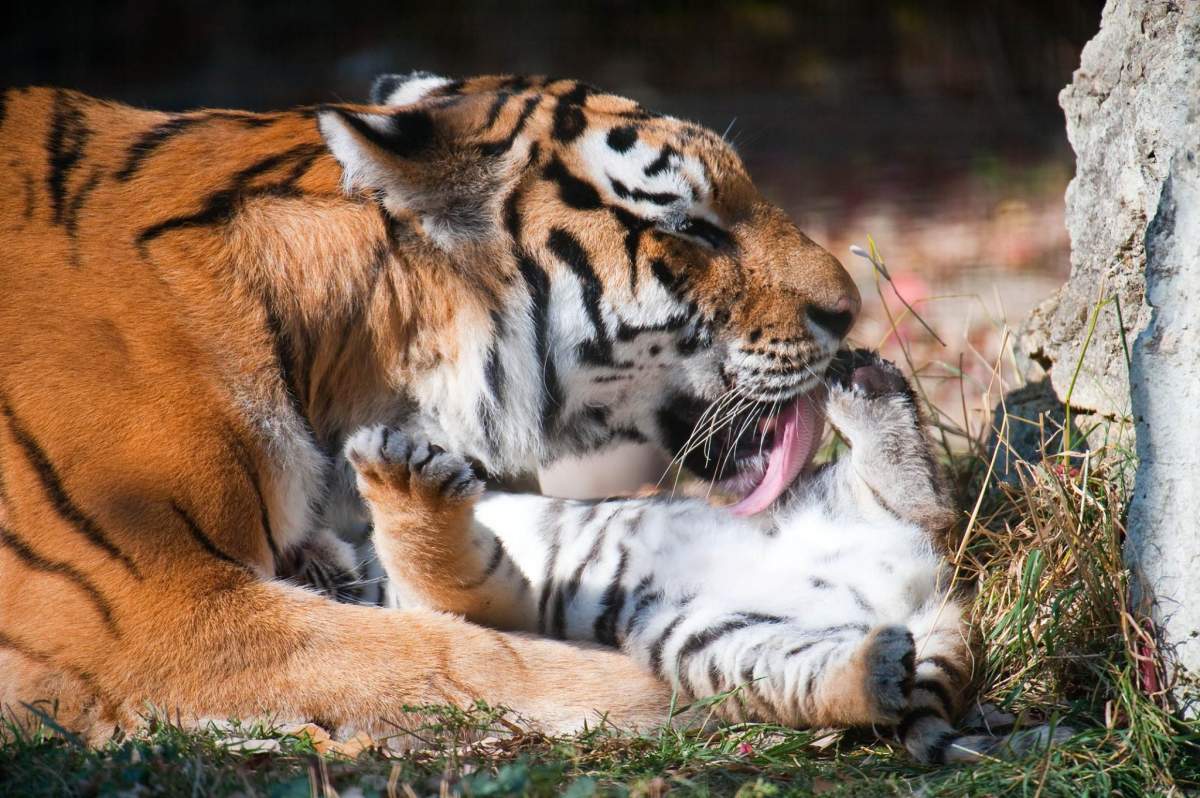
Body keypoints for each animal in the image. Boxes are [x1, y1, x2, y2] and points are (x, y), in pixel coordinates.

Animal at [345, 349, 1067, 763]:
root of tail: (918, 599)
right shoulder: (474, 596)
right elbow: (433, 559)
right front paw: (396, 476)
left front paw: (392, 467)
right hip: (718, 639)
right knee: (824, 673)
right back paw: (875, 670)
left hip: (822, 499)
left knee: (926, 504)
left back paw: (867, 383)